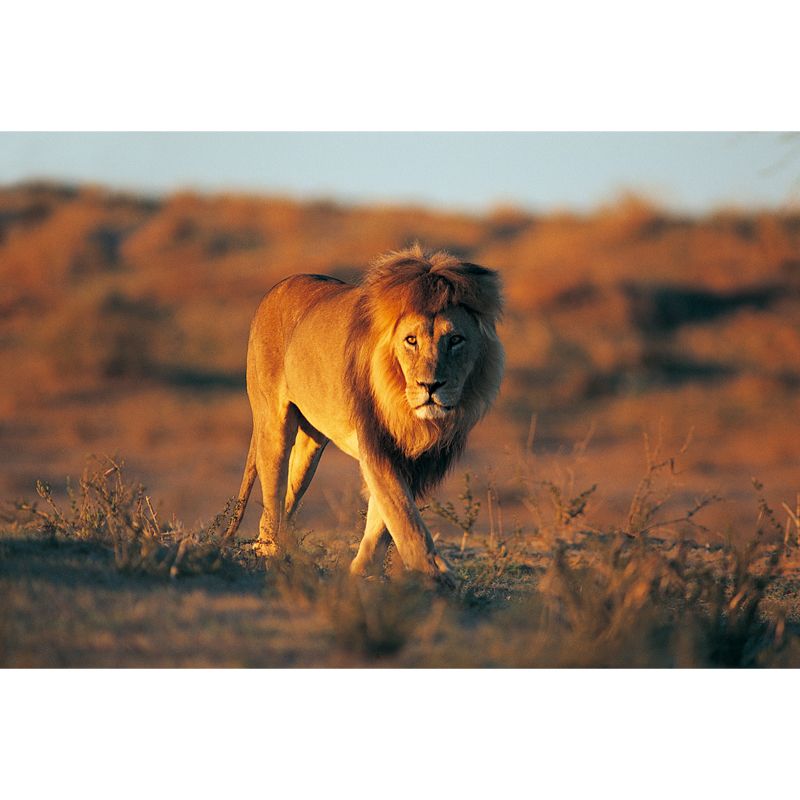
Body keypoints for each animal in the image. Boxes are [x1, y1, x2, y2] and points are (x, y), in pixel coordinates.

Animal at [225, 244, 504, 581]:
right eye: (411, 340)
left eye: (456, 340)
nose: (430, 385)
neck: (410, 412)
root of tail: (277, 287)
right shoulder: (375, 442)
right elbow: (402, 513)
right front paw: (434, 572)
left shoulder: (415, 457)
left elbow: (382, 520)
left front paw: (361, 571)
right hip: (273, 425)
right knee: (272, 500)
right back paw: (271, 555)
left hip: (311, 444)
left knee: (287, 500)